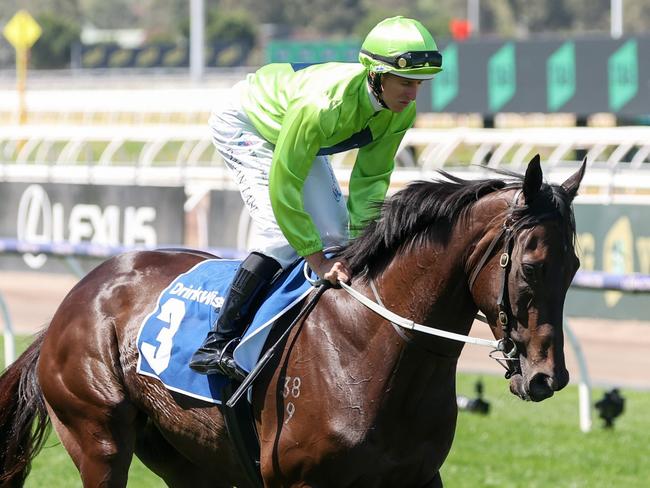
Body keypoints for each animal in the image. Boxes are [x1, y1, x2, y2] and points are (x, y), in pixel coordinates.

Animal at [0, 157, 584, 488]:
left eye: (575, 266)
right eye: (532, 265)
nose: (547, 377)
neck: (373, 349)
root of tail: (78, 295)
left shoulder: (417, 476)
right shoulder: (297, 480)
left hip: (188, 457)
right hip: (97, 437)